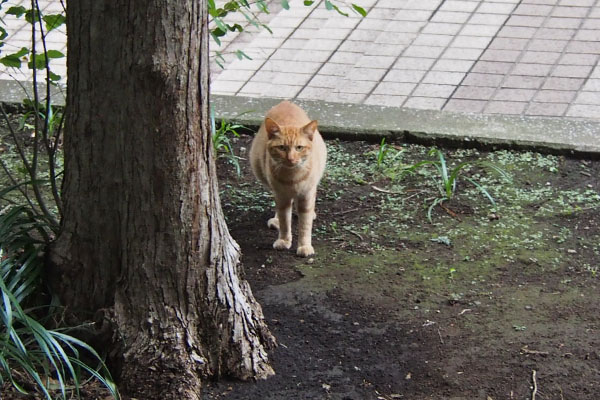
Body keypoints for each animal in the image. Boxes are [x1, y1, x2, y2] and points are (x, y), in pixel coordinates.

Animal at [251, 100, 330, 256]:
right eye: (282, 147)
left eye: (299, 147)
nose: (291, 159)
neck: (292, 178)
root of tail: (285, 102)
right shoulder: (281, 196)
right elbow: (284, 221)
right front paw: (284, 240)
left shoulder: (307, 195)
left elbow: (305, 225)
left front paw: (305, 246)